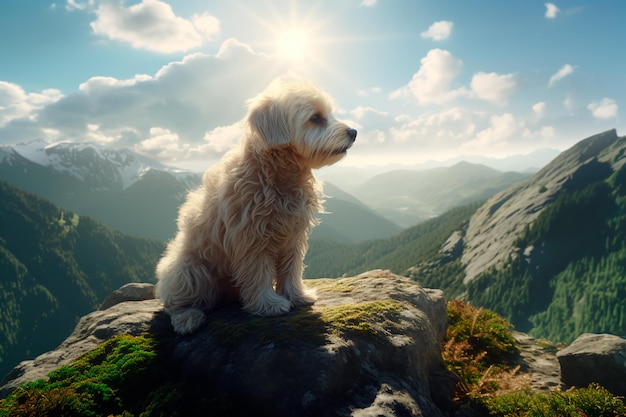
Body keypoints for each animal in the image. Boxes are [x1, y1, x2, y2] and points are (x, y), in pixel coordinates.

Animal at [154, 76, 354, 334]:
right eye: (315, 118)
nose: (354, 131)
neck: (279, 176)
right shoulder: (252, 238)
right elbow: (259, 273)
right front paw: (269, 305)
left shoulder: (293, 236)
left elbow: (291, 268)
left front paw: (297, 295)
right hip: (191, 272)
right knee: (175, 304)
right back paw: (187, 317)